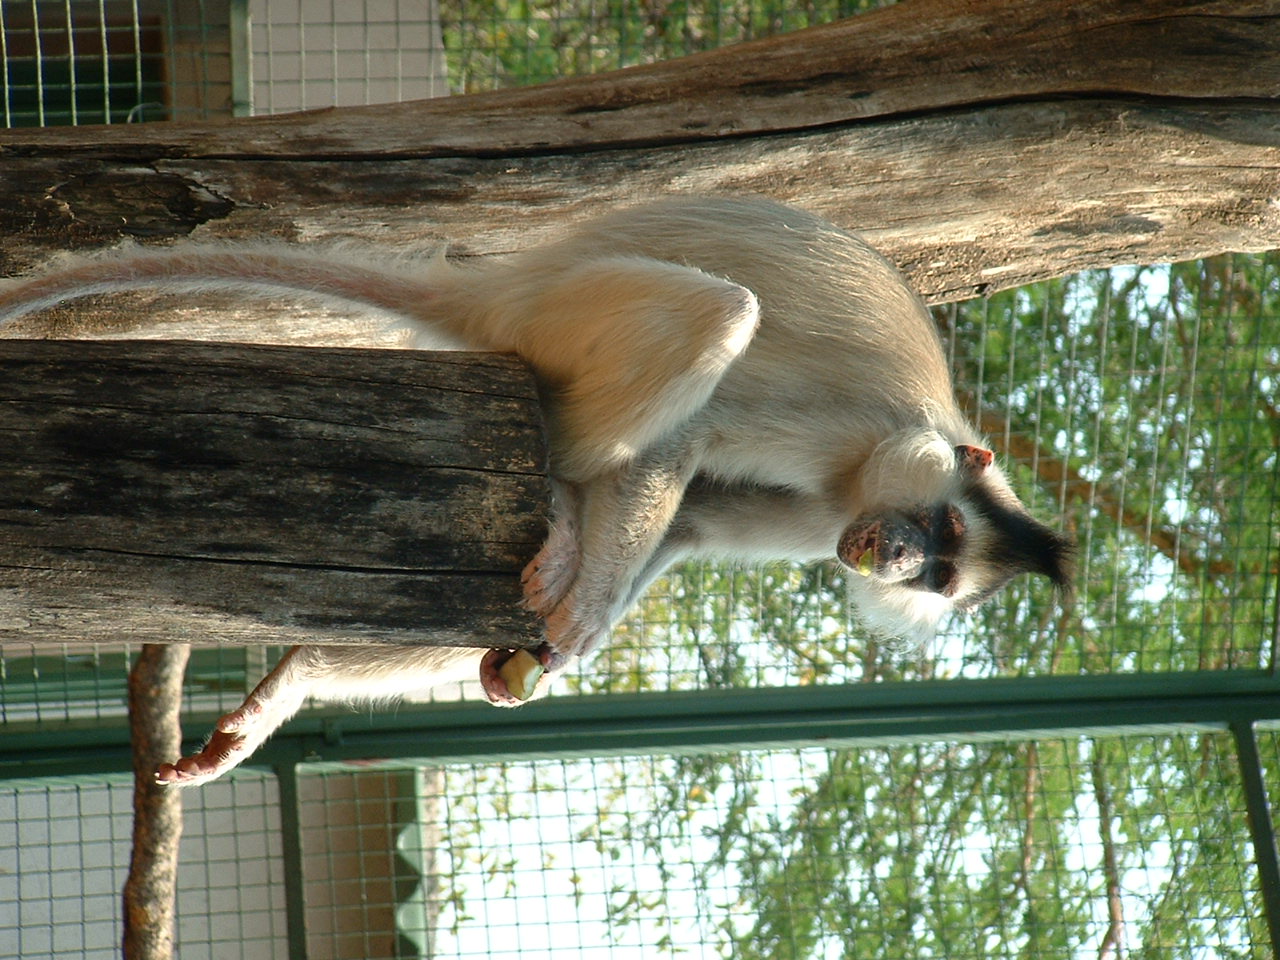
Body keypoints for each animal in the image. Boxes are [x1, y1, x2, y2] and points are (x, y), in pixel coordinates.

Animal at [0, 197, 1073, 785]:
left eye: (938, 574)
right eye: (939, 533)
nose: (898, 554)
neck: (915, 444)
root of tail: (512, 284)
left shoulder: (831, 511)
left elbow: (692, 516)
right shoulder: (862, 432)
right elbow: (688, 444)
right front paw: (583, 612)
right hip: (581, 311)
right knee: (723, 317)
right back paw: (559, 497)